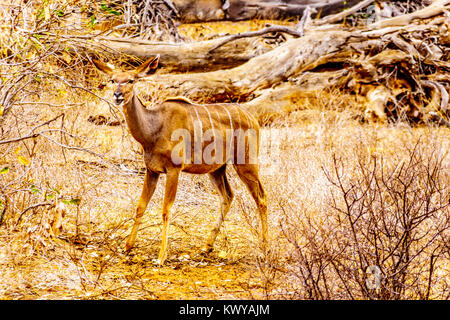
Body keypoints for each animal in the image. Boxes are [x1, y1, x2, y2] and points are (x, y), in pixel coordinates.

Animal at [92, 55, 268, 264]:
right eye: (112, 80)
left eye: (131, 80)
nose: (117, 95)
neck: (153, 130)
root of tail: (253, 119)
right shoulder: (151, 170)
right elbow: (141, 205)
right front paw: (127, 247)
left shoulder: (174, 169)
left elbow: (166, 210)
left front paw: (161, 257)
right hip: (217, 169)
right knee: (228, 196)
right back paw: (207, 247)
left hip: (246, 162)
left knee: (261, 197)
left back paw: (265, 249)